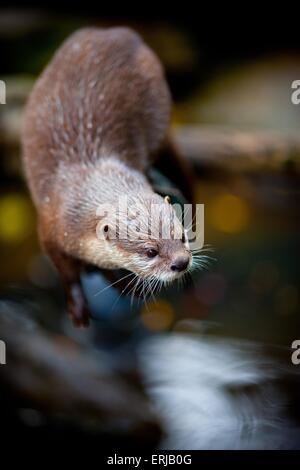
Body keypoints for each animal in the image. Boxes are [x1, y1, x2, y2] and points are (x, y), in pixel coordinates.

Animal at [21, 26, 195, 326]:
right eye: (150, 251)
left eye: (182, 236)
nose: (181, 262)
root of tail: (115, 31)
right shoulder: (50, 228)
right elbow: (67, 272)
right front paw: (78, 307)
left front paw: (122, 284)